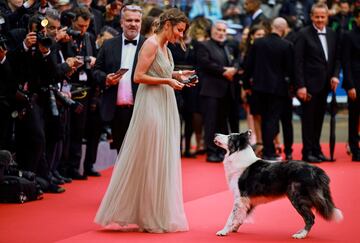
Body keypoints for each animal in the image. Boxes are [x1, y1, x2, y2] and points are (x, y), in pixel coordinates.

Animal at [214, 130, 344, 238]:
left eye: (230, 137)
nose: (215, 134)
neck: (238, 154)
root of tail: (316, 170)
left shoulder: (240, 197)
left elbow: (231, 216)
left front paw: (223, 231)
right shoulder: (248, 200)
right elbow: (241, 216)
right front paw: (234, 228)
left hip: (296, 197)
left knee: (310, 218)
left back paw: (301, 235)